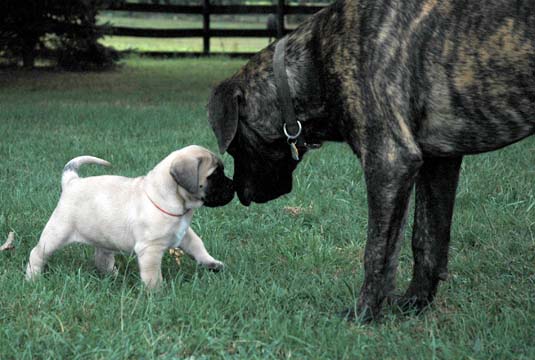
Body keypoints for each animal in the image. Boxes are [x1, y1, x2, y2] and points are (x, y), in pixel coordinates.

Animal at [25, 145, 234, 288]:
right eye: (214, 176)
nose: (233, 186)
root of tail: (72, 181)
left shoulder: (185, 234)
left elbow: (198, 246)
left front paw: (212, 263)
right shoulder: (150, 249)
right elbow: (152, 274)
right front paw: (157, 293)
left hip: (103, 239)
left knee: (102, 258)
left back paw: (113, 277)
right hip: (56, 233)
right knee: (37, 253)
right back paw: (32, 277)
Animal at [207, 0, 532, 320]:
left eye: (234, 147)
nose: (238, 192)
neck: (313, 62)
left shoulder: (389, 161)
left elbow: (378, 251)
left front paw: (364, 311)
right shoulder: (440, 161)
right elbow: (426, 240)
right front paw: (415, 303)